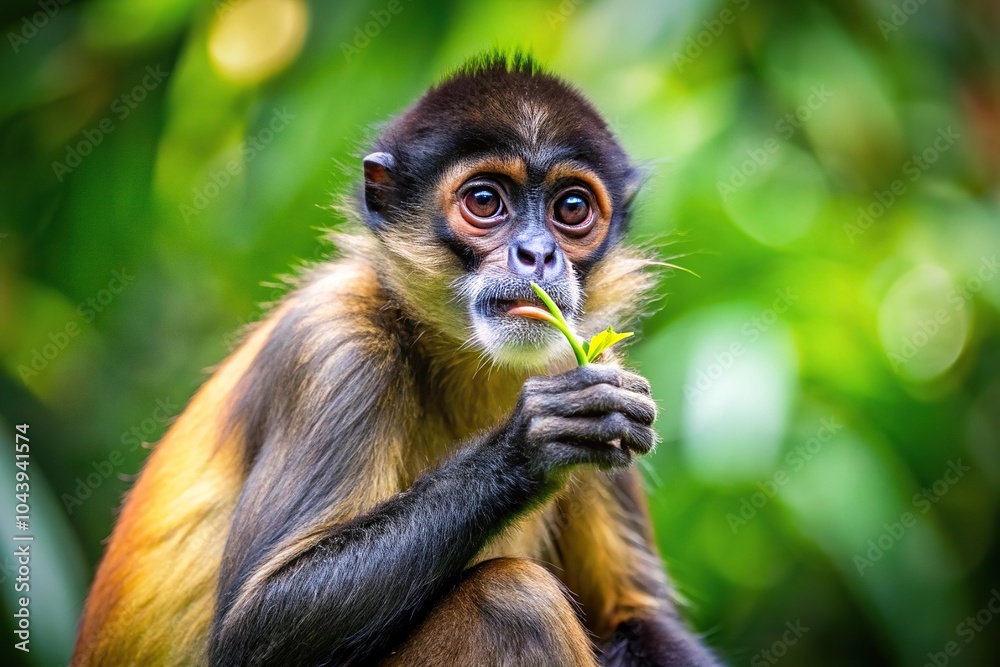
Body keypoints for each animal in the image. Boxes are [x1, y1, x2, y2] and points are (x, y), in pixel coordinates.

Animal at [71, 52, 720, 667]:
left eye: (572, 209)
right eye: (485, 201)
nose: (537, 254)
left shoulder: (592, 355)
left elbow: (634, 620)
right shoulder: (334, 343)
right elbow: (248, 633)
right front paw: (532, 443)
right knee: (513, 601)